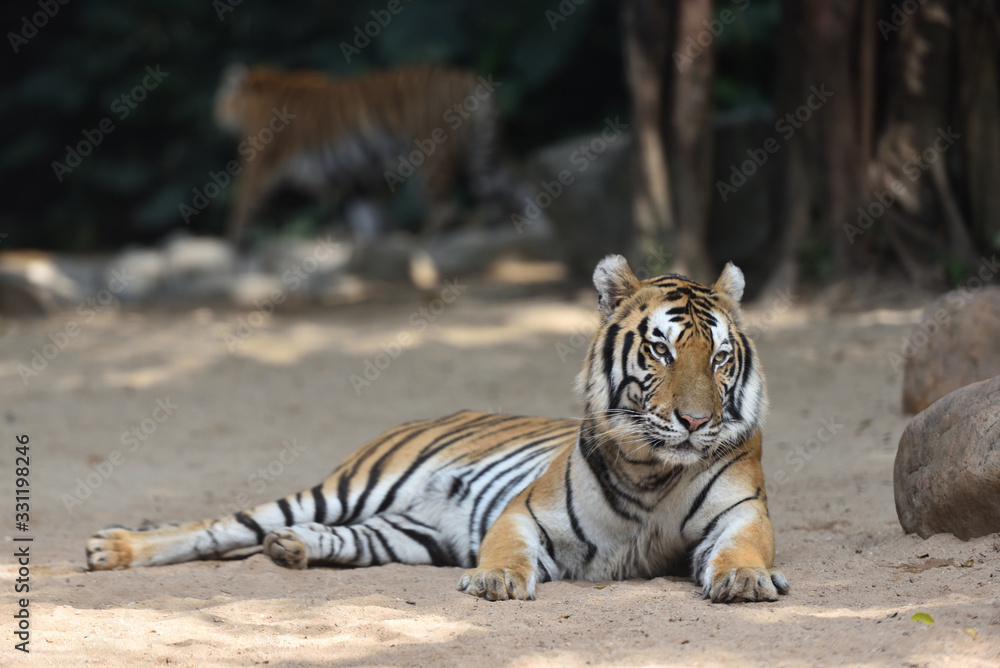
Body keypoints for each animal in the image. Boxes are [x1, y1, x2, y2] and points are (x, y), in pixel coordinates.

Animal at [87, 255, 788, 603]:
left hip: (403, 532)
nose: (696, 421)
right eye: (662, 350)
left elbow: (741, 549)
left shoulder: (741, 515)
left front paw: (746, 581)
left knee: (334, 538)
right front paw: (494, 581)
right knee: (218, 527)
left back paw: (290, 548)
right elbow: (507, 551)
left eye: (719, 358)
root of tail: (441, 411)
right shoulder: (523, 513)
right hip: (346, 487)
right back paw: (111, 548)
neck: (651, 469)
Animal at [214, 63, 532, 242]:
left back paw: (425, 241)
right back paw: (535, 229)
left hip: (431, 157)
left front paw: (234, 247)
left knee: (445, 207)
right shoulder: (356, 179)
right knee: (521, 188)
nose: (215, 115)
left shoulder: (258, 167)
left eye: (221, 99)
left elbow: (240, 207)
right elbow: (367, 219)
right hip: (486, 160)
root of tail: (469, 79)